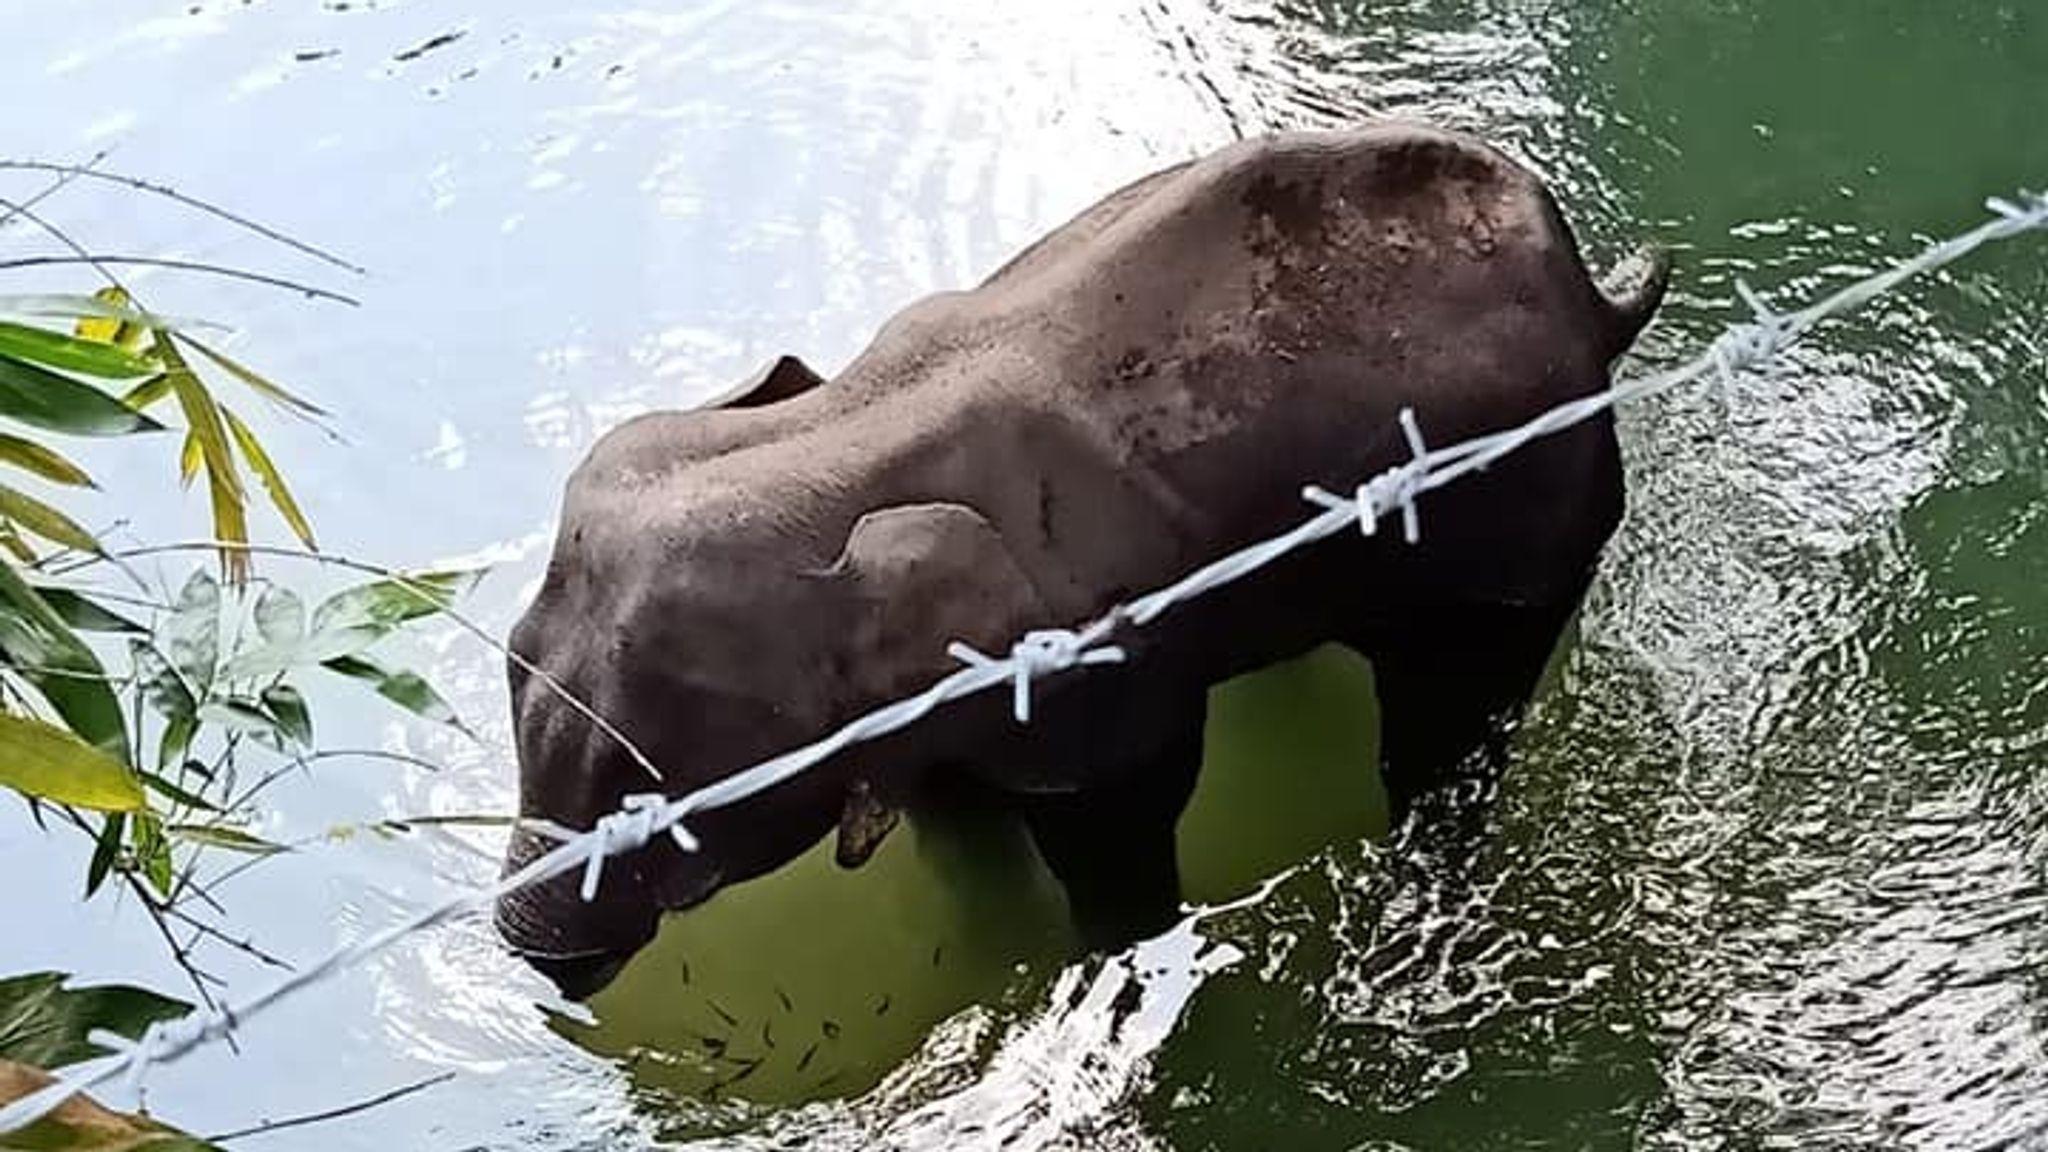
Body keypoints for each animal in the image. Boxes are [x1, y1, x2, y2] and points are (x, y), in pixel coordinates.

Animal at [496, 121, 1669, 995]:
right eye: (511, 661)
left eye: (655, 792)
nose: (540, 962)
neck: (845, 437)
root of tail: (1595, 298)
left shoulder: (1094, 668)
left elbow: (1123, 816)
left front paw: (1102, 959)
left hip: (1531, 509)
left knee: (1450, 715)